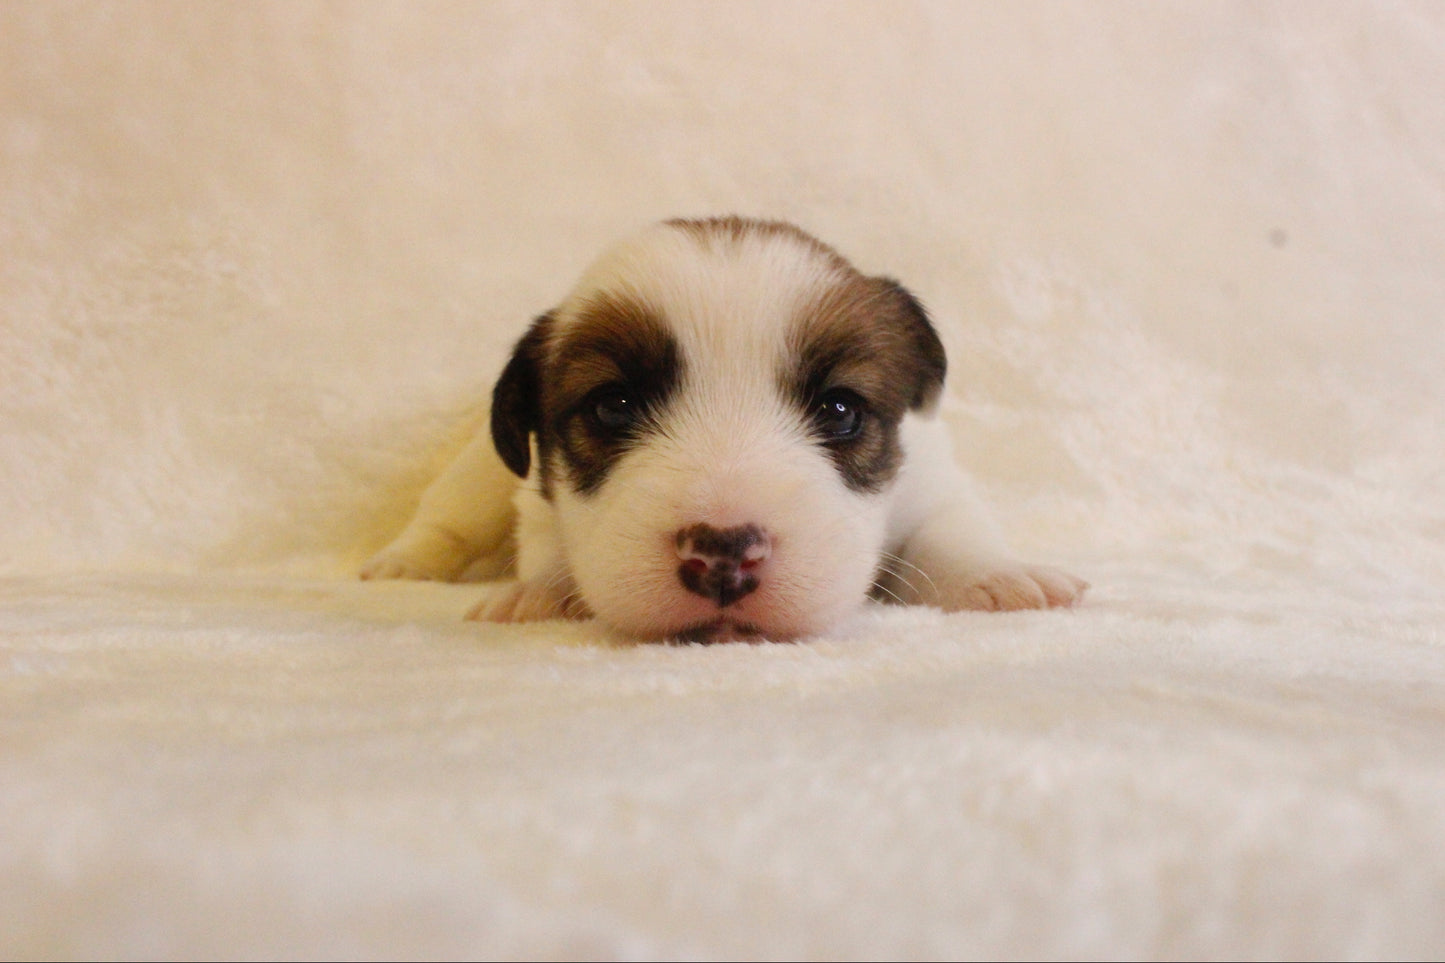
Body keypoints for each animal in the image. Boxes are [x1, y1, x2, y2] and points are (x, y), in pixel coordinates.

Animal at [361, 216, 1086, 636]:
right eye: (612, 406)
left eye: (840, 410)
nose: (723, 555)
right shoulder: (537, 504)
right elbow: (549, 545)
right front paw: (542, 592)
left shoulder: (932, 482)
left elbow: (952, 533)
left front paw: (997, 577)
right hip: (476, 474)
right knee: (446, 517)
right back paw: (404, 561)